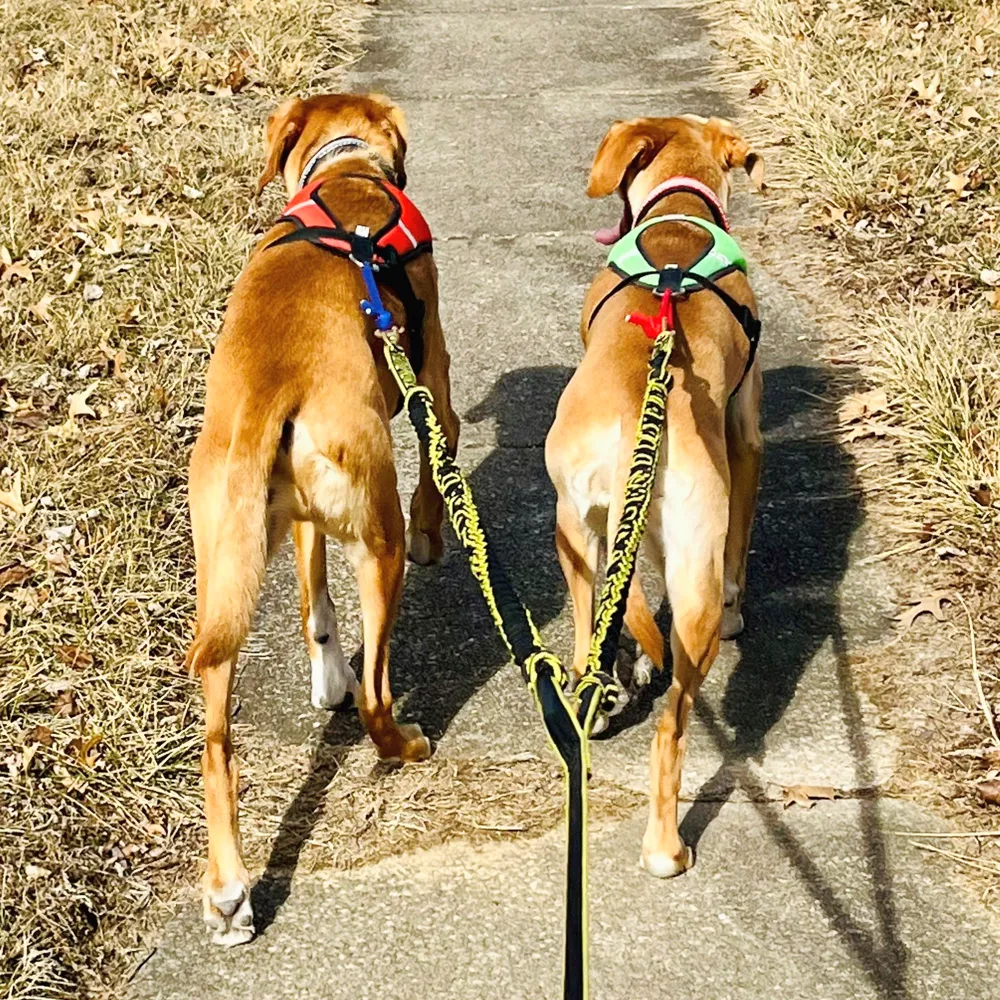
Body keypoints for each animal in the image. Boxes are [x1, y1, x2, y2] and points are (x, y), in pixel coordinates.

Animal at [186, 94, 458, 944]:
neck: (345, 176)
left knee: (216, 737)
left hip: (226, 565)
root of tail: (269, 391)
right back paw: (406, 744)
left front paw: (324, 674)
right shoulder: (432, 373)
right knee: (376, 695)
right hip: (380, 540)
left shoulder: (303, 523)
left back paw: (228, 892)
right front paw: (440, 532)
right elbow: (440, 453)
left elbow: (315, 603)